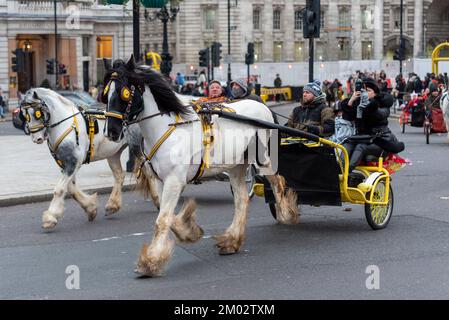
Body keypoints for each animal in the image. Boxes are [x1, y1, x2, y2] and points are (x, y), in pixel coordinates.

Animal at [21, 88, 158, 230]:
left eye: (37, 113)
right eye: (24, 114)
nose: (37, 138)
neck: (66, 125)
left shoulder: (73, 163)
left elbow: (59, 189)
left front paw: (50, 218)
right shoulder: (66, 164)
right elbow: (71, 189)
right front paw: (90, 208)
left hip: (136, 147)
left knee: (148, 171)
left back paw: (156, 199)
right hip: (112, 153)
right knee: (120, 175)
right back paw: (112, 206)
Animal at [102, 56, 298, 276]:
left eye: (125, 93)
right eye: (105, 93)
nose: (111, 131)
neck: (167, 129)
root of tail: (263, 107)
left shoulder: (174, 181)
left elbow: (162, 220)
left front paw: (151, 261)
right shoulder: (162, 181)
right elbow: (168, 216)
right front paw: (188, 231)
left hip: (262, 158)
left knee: (277, 182)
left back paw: (285, 213)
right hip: (236, 166)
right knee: (241, 200)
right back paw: (232, 240)